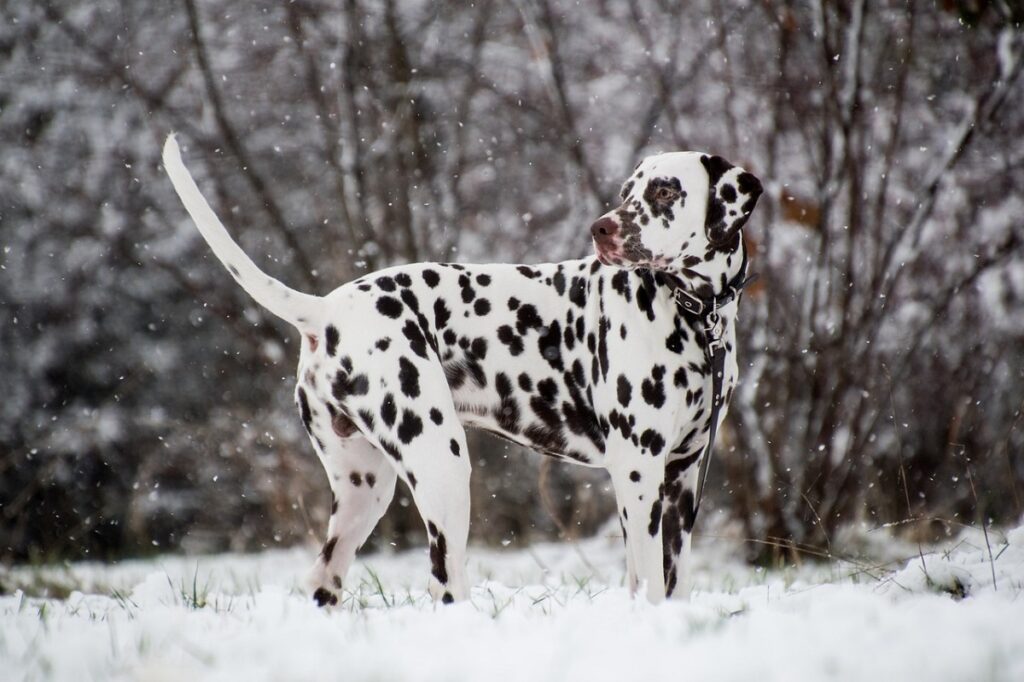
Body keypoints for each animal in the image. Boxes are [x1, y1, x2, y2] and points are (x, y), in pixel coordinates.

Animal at [161, 135, 761, 602]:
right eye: (626, 193)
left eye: (664, 191)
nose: (602, 228)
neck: (694, 312)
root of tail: (327, 308)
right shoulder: (637, 471)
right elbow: (649, 582)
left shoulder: (681, 478)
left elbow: (669, 581)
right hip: (443, 470)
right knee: (445, 584)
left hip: (364, 491)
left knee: (322, 580)